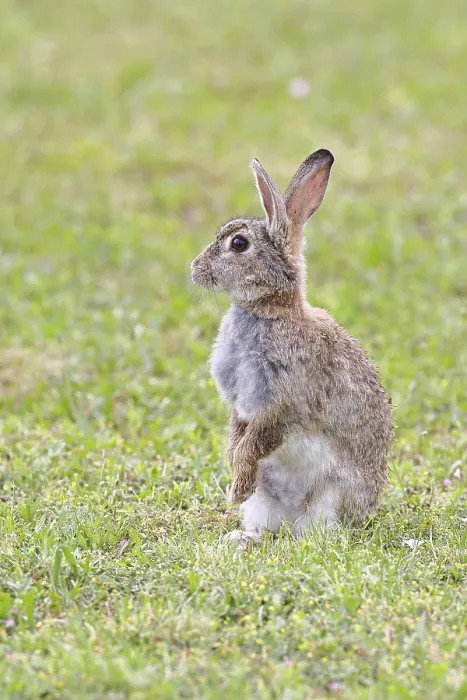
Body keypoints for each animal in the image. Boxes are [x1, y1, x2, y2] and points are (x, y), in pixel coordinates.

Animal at [191, 149, 394, 542]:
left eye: (239, 244)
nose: (194, 269)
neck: (270, 310)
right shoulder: (242, 407)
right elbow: (237, 438)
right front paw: (234, 482)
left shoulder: (284, 405)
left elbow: (256, 442)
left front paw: (236, 485)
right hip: (265, 500)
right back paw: (243, 538)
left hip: (330, 496)